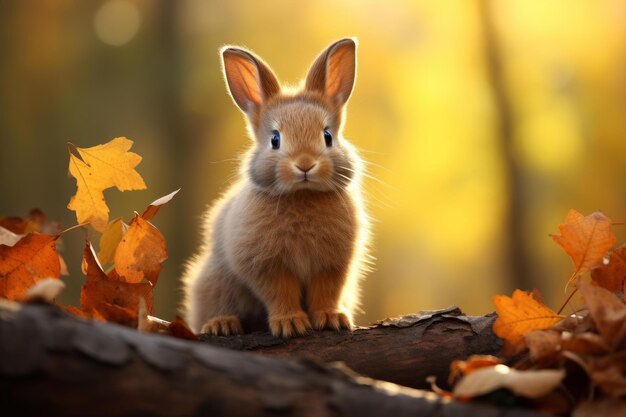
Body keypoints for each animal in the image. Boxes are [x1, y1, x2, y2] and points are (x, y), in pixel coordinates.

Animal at [180, 37, 368, 338]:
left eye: (327, 136)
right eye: (275, 140)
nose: (305, 165)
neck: (302, 196)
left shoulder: (333, 265)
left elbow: (326, 292)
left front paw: (331, 318)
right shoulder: (266, 265)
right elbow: (280, 293)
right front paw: (290, 323)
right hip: (213, 281)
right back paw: (221, 325)